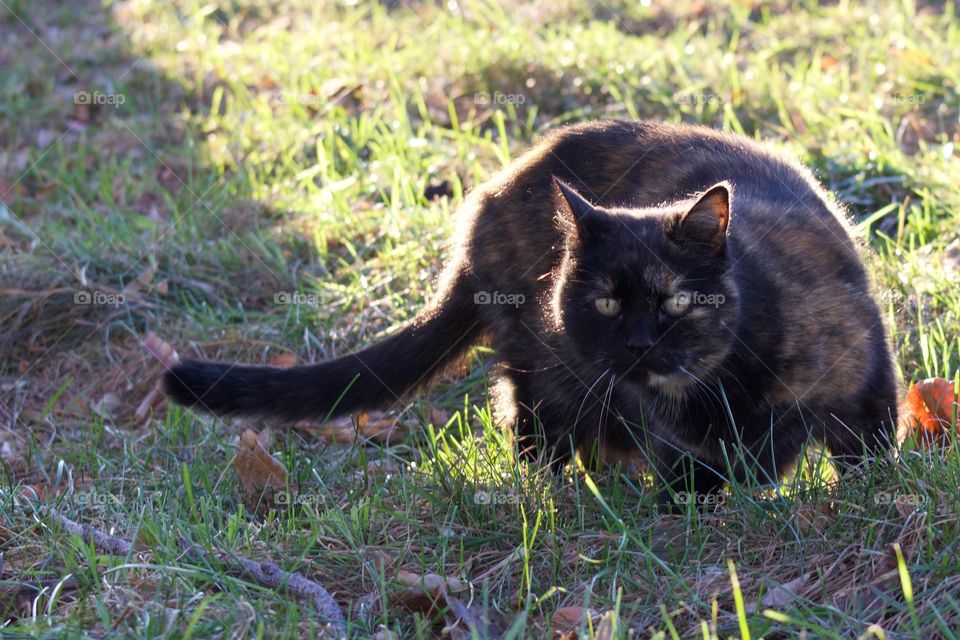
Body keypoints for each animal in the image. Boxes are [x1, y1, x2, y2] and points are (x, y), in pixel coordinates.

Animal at [165, 119, 900, 500]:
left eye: (674, 300)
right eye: (606, 301)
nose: (638, 343)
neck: (714, 385)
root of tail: (488, 197)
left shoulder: (865, 383)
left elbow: (867, 449)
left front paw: (873, 497)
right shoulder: (676, 440)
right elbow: (692, 482)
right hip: (545, 373)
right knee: (530, 423)